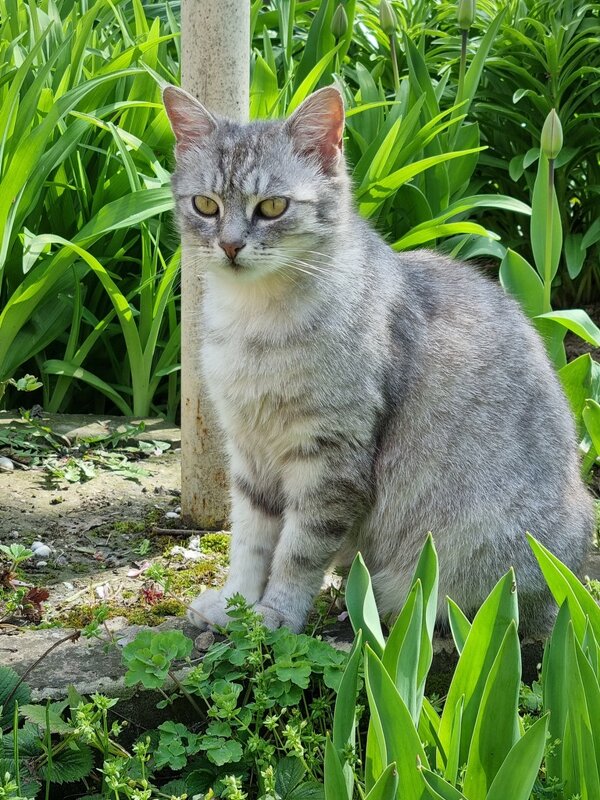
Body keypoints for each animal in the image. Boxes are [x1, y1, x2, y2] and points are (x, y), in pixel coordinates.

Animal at [162, 84, 592, 636]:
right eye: (205, 205)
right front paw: (235, 603)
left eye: (273, 206)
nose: (231, 245)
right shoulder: (249, 453)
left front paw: (274, 615)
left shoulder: (331, 457)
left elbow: (297, 552)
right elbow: (250, 543)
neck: (256, 323)